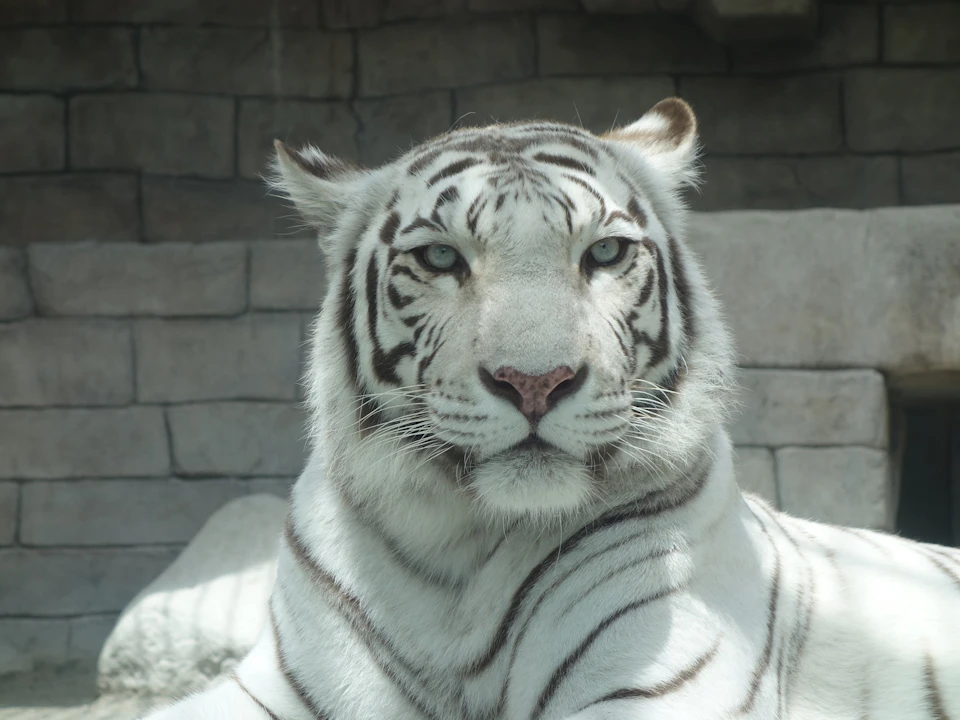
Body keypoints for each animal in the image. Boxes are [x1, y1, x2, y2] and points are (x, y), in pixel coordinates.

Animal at [143, 98, 960, 720]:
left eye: (603, 254)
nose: (535, 381)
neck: (457, 556)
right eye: (441, 258)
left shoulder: (652, 683)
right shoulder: (282, 682)